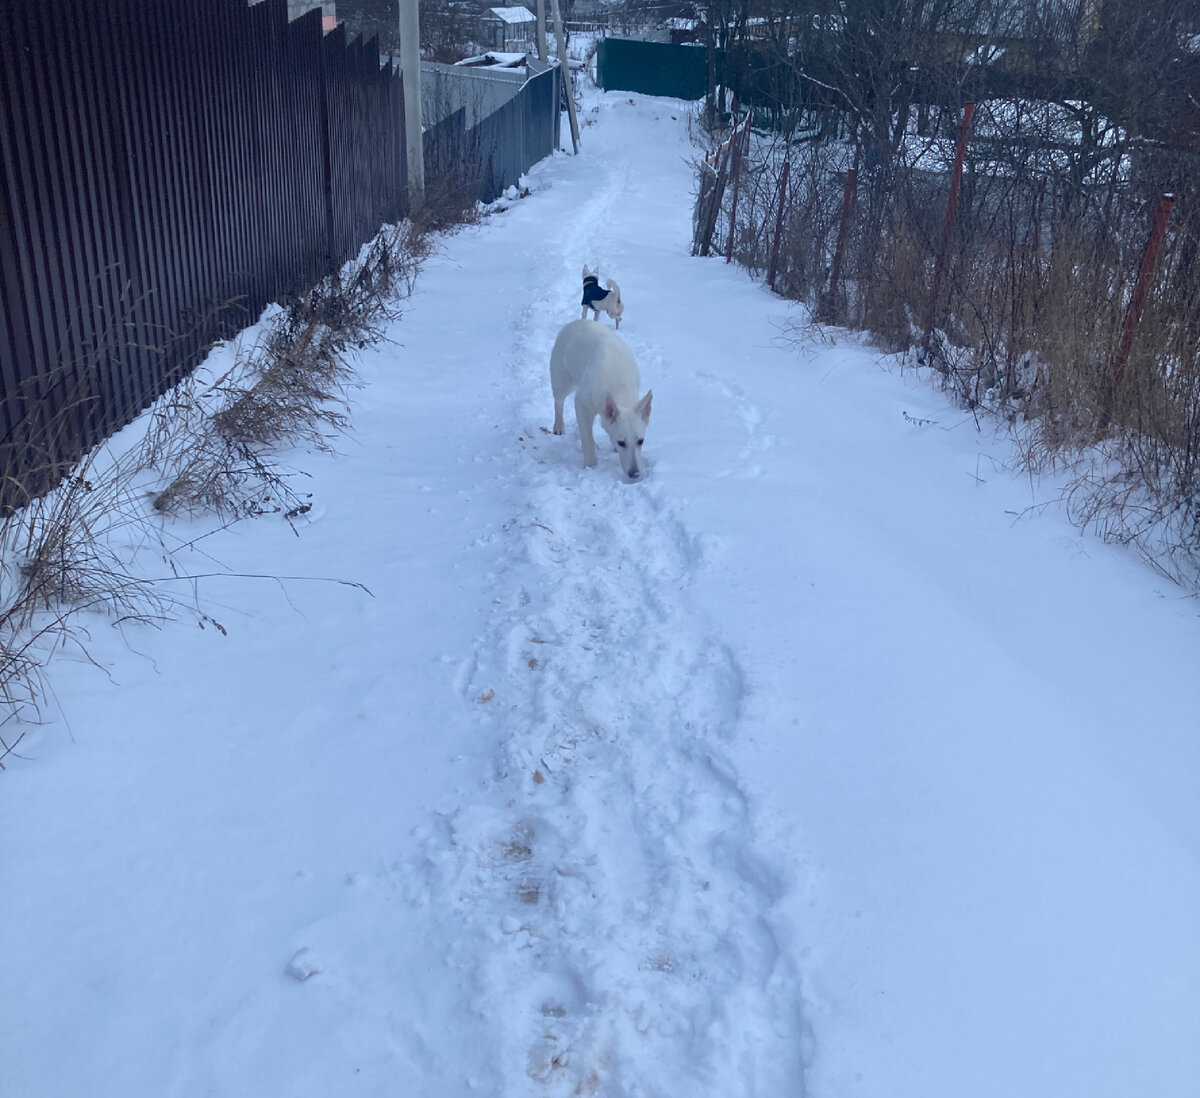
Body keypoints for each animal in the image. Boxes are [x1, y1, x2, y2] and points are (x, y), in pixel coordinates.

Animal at [549, 314, 652, 477]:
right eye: (622, 443)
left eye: (640, 441)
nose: (635, 474)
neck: (619, 388)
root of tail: (575, 323)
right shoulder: (582, 403)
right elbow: (587, 438)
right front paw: (590, 464)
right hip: (562, 382)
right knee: (558, 402)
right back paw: (559, 426)